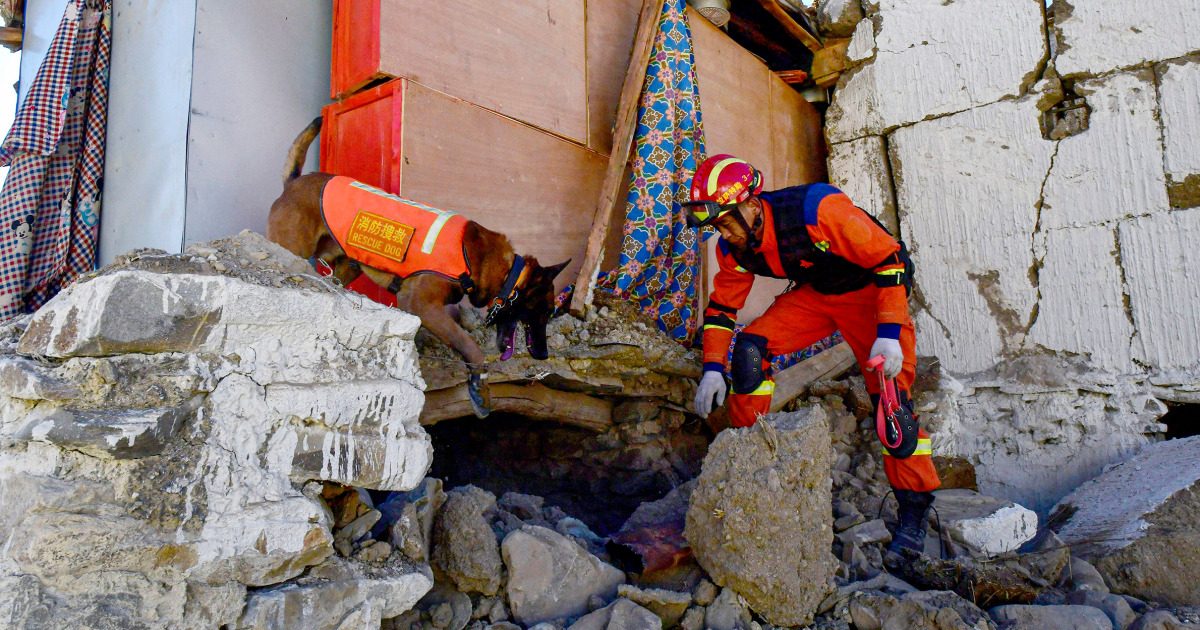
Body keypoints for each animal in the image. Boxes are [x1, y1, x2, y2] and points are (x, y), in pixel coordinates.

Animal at [270, 120, 568, 420]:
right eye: (544, 312)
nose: (543, 355)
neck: (499, 268)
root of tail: (293, 182)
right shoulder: (419, 303)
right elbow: (470, 346)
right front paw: (480, 387)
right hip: (291, 247)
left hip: (348, 266)